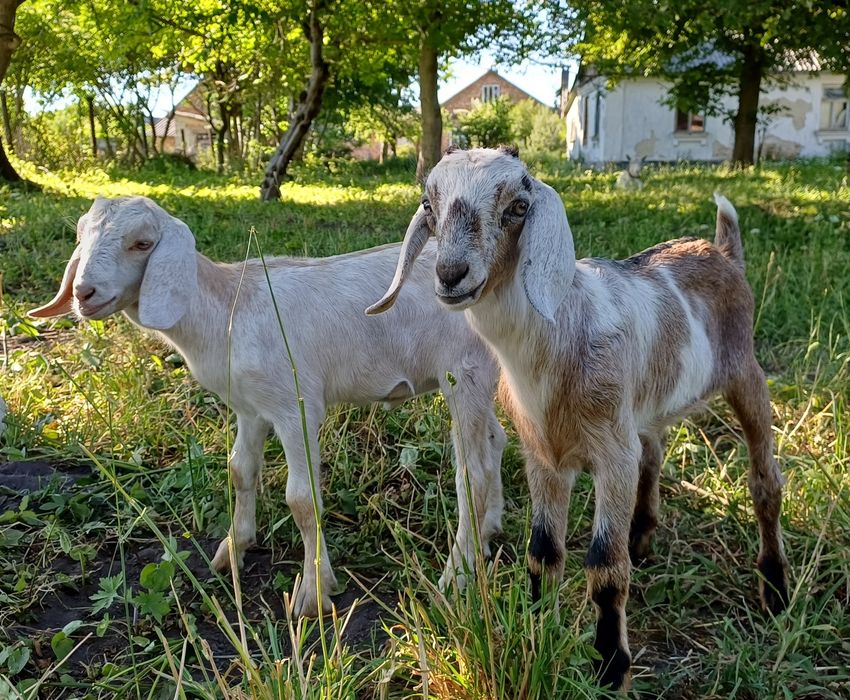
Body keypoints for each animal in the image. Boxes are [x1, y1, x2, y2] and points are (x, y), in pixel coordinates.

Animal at [30, 195, 506, 618]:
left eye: (142, 243)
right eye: (81, 235)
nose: (84, 293)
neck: (228, 307)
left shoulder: (296, 405)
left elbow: (302, 499)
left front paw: (313, 593)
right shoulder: (250, 407)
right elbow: (240, 470)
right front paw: (233, 550)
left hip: (464, 372)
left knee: (473, 473)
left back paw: (457, 574)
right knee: (496, 441)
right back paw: (487, 533)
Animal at [367, 146, 789, 690]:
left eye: (518, 206)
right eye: (428, 203)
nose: (451, 273)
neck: (563, 331)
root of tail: (722, 251)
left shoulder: (611, 456)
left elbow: (605, 566)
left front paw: (611, 666)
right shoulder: (544, 456)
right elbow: (543, 551)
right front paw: (536, 625)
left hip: (745, 373)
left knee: (765, 482)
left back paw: (774, 589)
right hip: (645, 405)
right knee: (652, 453)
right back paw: (642, 536)